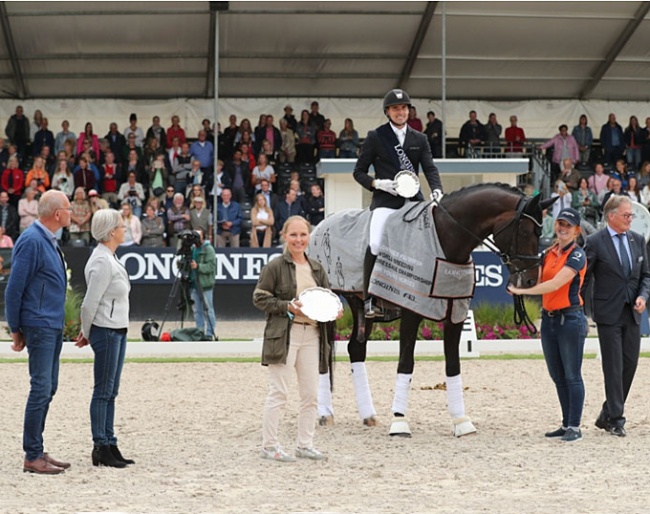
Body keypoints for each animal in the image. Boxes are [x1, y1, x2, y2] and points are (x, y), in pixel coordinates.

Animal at [316, 182, 548, 434]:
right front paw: (399, 422)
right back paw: (324, 414)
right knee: (323, 352)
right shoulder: (411, 310)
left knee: (356, 349)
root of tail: (320, 224)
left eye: (540, 234)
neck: (445, 241)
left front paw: (461, 421)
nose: (530, 281)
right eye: (525, 232)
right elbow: (406, 362)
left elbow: (453, 364)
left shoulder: (455, 312)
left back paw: (368, 415)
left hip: (360, 306)